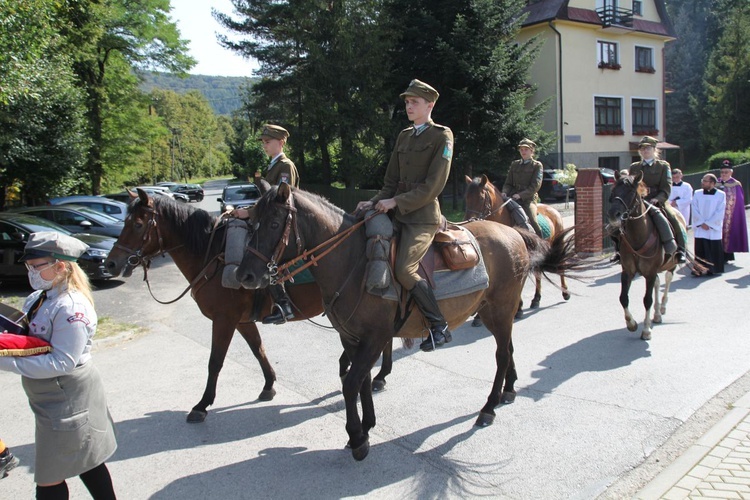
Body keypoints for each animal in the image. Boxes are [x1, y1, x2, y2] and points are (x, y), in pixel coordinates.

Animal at [103, 189, 400, 420]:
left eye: (137, 224)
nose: (111, 263)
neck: (213, 255)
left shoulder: (224, 320)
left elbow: (215, 361)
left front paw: (202, 405)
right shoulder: (242, 321)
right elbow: (258, 350)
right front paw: (269, 384)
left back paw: (377, 374)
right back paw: (376, 374)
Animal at [464, 175, 568, 308]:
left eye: (481, 198)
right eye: (466, 198)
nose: (468, 221)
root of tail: (553, 210)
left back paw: (565, 292)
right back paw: (536, 298)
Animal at [608, 172, 684, 340]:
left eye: (631, 192)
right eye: (613, 191)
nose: (613, 214)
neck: (637, 236)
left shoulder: (650, 272)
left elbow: (647, 300)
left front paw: (646, 330)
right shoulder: (628, 271)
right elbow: (623, 298)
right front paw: (631, 323)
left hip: (671, 264)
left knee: (667, 279)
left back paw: (662, 308)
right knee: (657, 283)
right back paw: (656, 314)